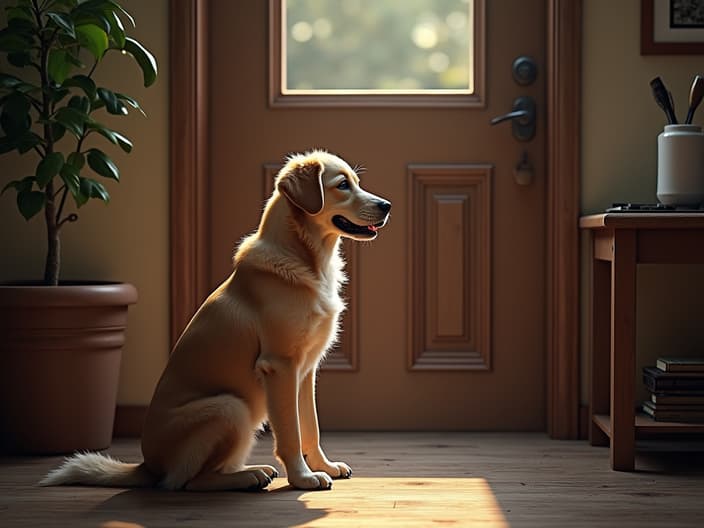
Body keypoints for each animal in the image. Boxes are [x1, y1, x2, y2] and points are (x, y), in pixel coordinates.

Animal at [40, 148, 390, 490]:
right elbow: (291, 432)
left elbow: (311, 427)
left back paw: (252, 471)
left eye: (356, 182)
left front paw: (324, 467)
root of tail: (147, 466)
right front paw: (302, 478)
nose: (387, 205)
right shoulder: (280, 366)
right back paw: (248, 477)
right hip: (230, 407)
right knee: (183, 482)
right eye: (342, 185)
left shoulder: (305, 372)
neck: (306, 258)